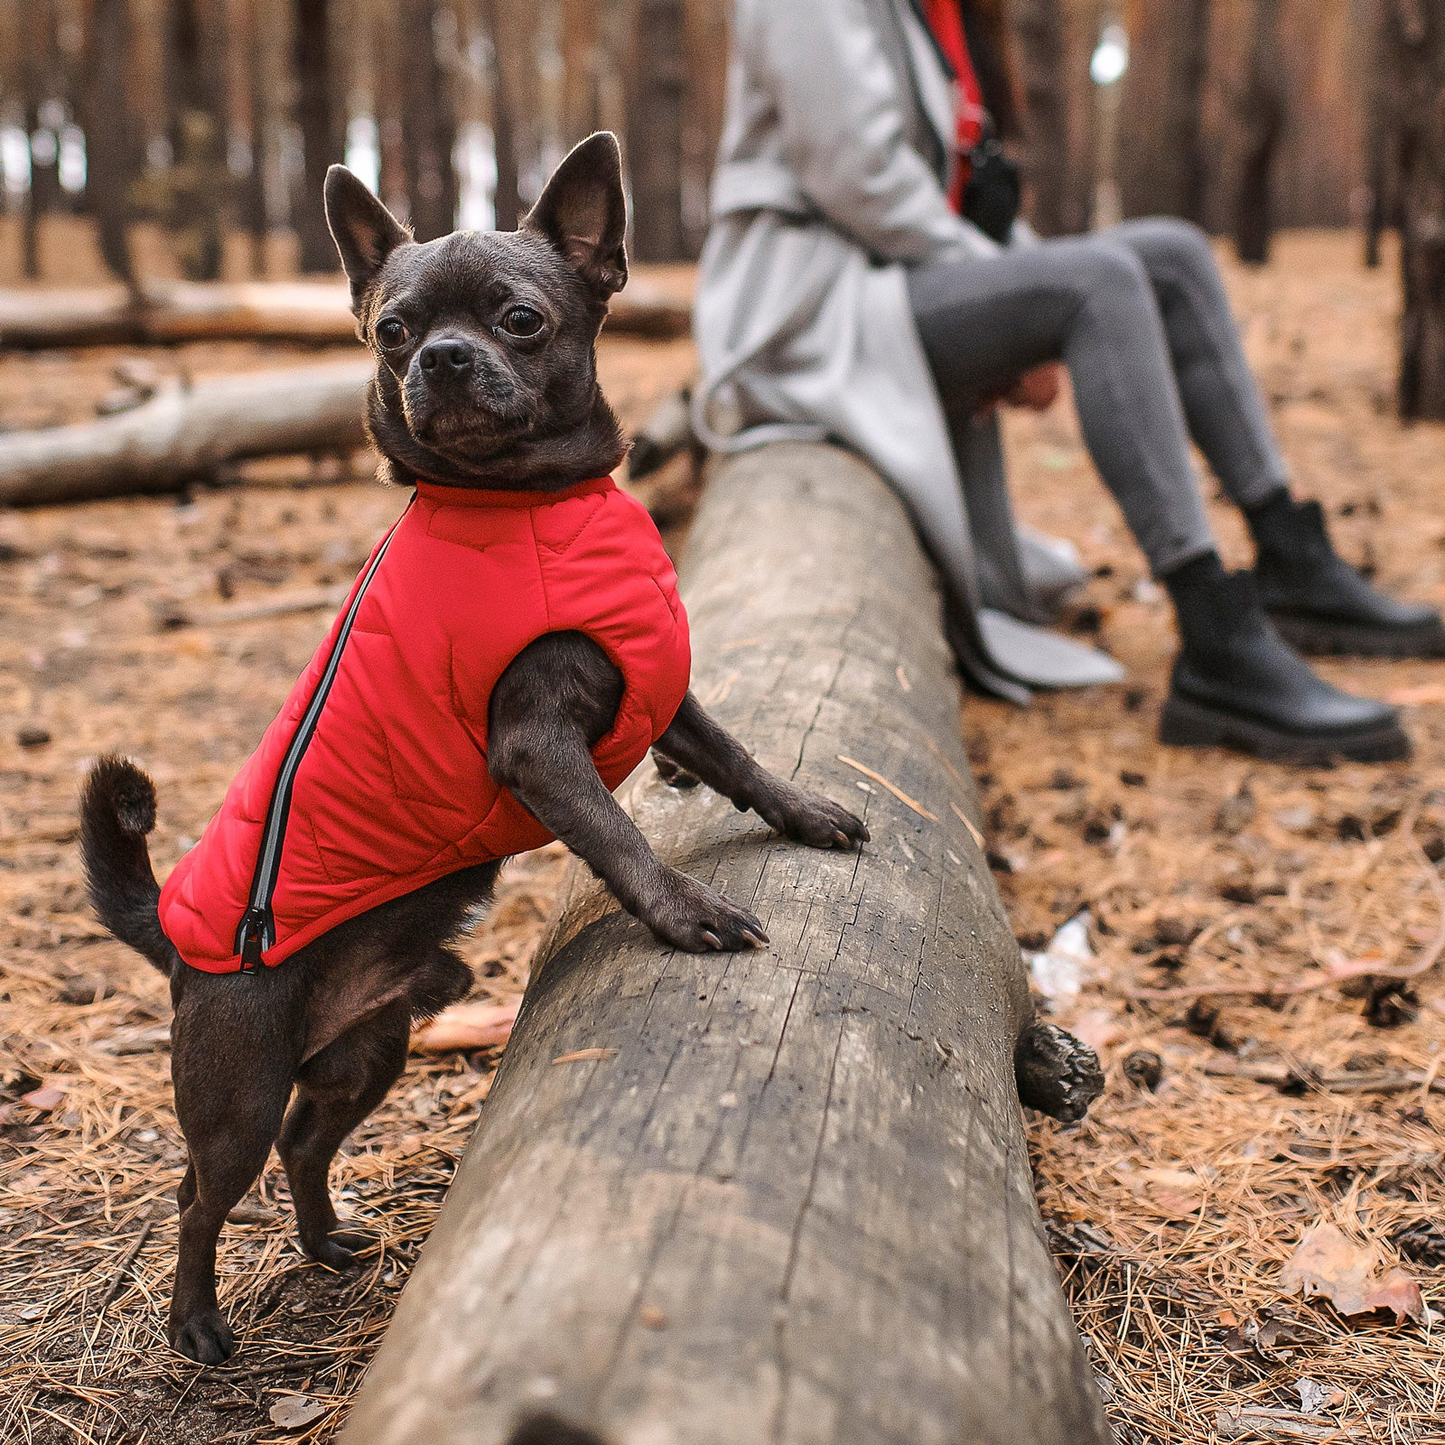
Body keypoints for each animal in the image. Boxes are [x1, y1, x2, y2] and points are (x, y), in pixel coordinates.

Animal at [82, 130, 867, 1358]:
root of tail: (170, 932)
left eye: (521, 319)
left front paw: (806, 813)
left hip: (372, 1048)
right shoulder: (540, 746)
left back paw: (327, 1240)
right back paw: (196, 1321)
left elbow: (738, 758)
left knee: (309, 1140)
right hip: (236, 1088)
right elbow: (619, 836)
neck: (534, 503)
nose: (442, 357)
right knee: (202, 1192)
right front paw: (685, 912)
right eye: (391, 332)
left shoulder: (657, 686)